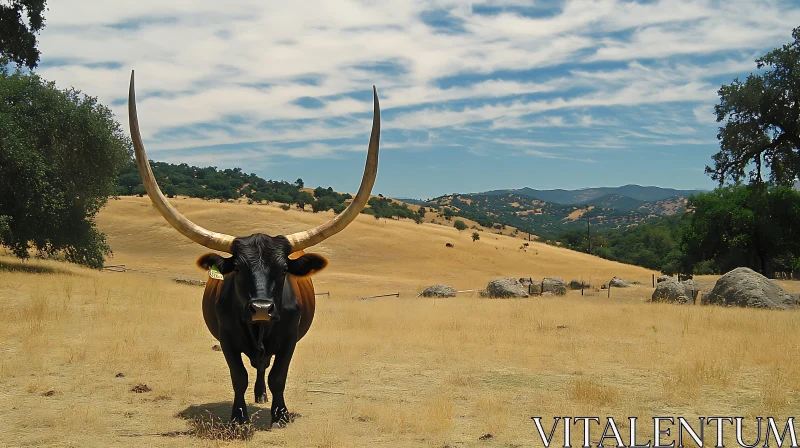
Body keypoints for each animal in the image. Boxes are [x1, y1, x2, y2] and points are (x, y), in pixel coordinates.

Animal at [127, 72, 382, 426]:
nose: (261, 308)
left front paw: (280, 414)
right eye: (238, 269)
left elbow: (278, 376)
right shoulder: (227, 340)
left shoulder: (289, 341)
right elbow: (240, 377)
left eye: (284, 270)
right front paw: (238, 416)